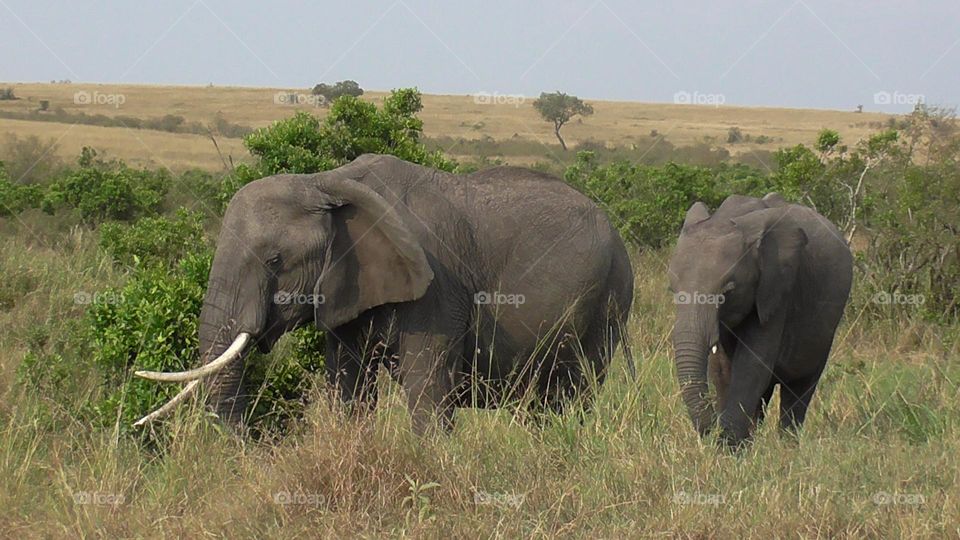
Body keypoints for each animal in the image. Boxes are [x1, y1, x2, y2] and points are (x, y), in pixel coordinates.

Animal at [134, 154, 634, 435]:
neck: (325, 181)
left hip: (609, 300)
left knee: (573, 393)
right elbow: (349, 387)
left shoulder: (437, 289)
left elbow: (427, 391)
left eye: (275, 261)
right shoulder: (345, 289)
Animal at [668, 192, 852, 448]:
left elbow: (752, 365)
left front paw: (729, 445)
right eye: (673, 290)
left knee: (799, 389)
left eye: (727, 292)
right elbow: (722, 369)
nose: (713, 427)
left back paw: (788, 445)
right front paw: (733, 444)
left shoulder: (777, 289)